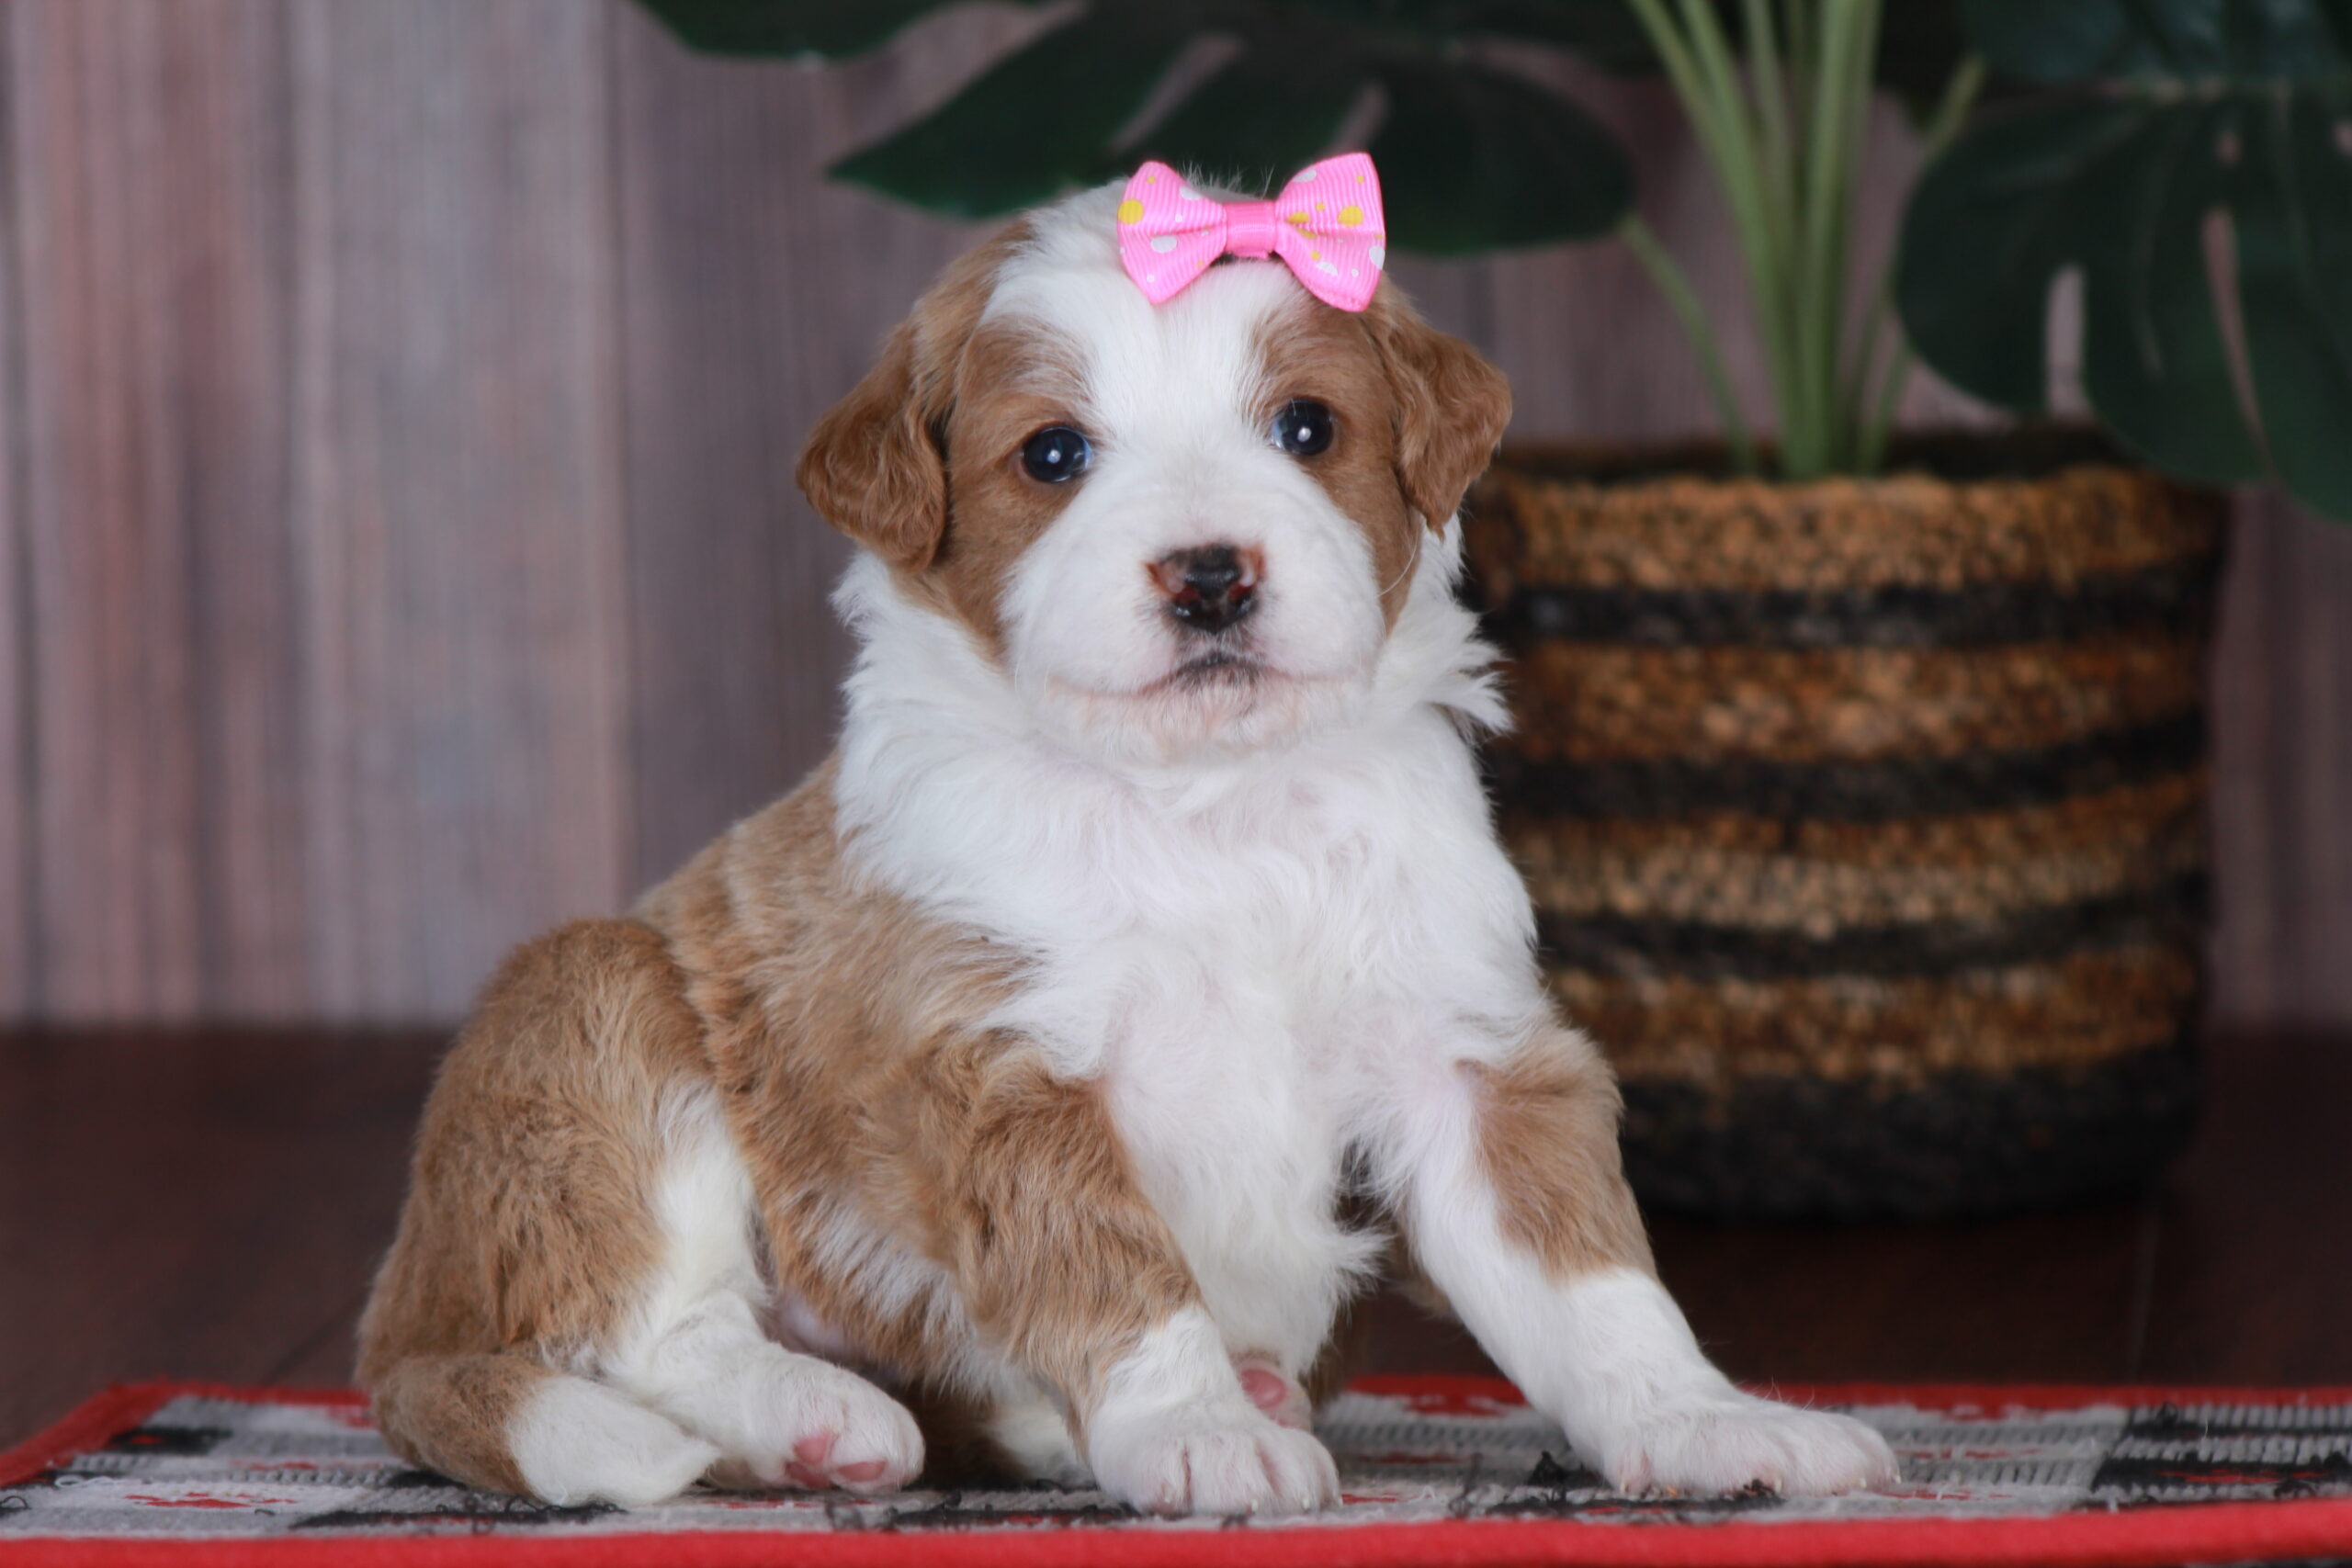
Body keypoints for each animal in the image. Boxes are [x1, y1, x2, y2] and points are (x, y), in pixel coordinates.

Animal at [356, 164, 1897, 1517]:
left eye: (1306, 428)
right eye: (1054, 454)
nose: (1210, 576)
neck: (1213, 808)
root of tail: (392, 1326)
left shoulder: (1462, 1047)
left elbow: (1591, 1277)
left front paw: (1703, 1419)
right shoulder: (994, 1062)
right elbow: (1114, 1267)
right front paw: (1201, 1431)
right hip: (593, 1010)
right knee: (638, 1321)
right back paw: (821, 1411)